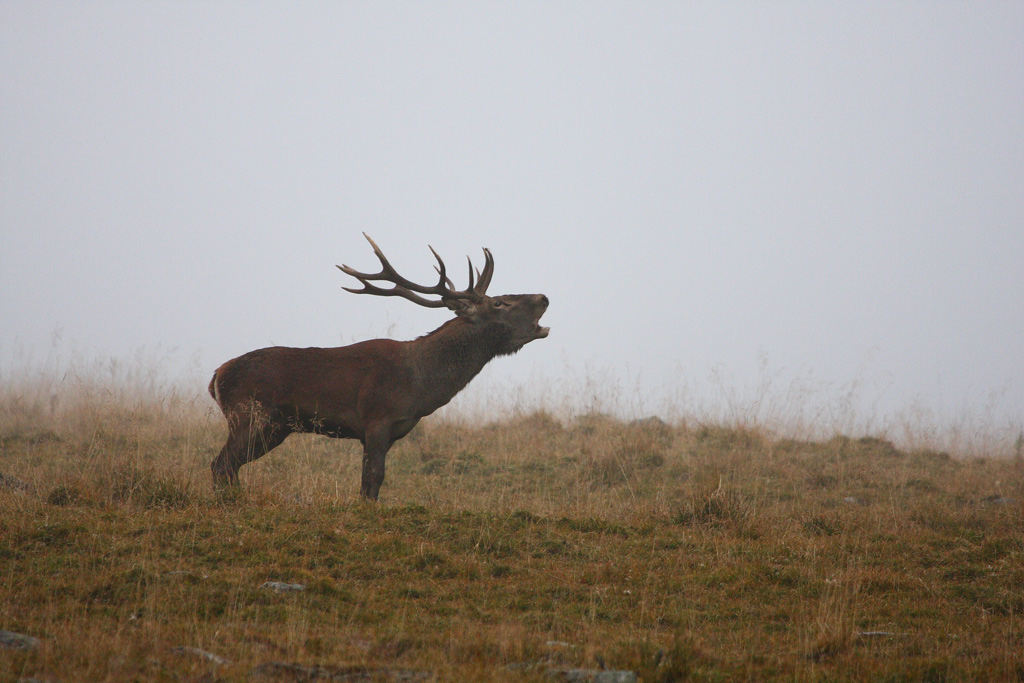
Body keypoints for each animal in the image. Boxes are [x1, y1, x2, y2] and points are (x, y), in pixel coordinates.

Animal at [208, 234, 549, 500]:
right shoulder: (377, 419)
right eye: (499, 303)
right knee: (221, 464)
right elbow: (373, 480)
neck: (421, 383)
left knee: (228, 465)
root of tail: (215, 377)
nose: (544, 297)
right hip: (249, 415)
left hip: (275, 427)